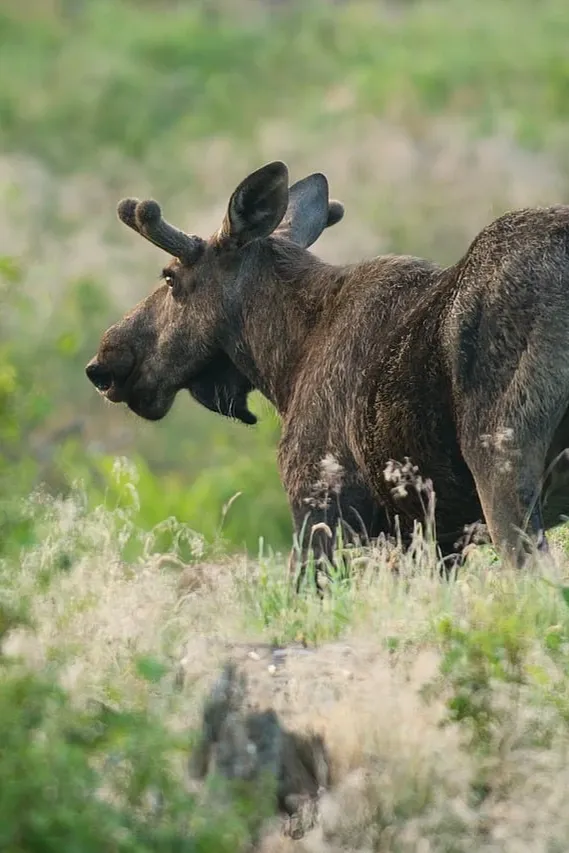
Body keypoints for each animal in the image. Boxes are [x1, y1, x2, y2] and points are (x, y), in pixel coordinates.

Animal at [86, 160, 569, 585]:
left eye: (169, 277)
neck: (286, 363)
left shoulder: (319, 502)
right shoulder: (431, 536)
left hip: (502, 462)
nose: (103, 363)